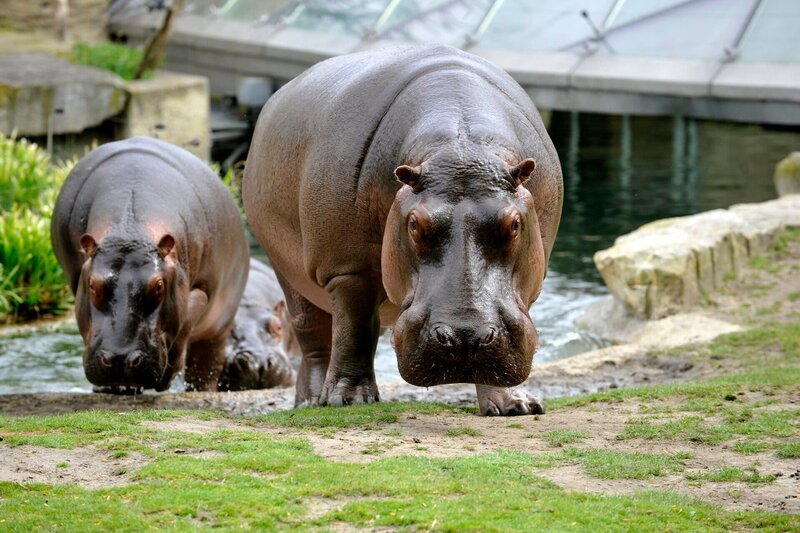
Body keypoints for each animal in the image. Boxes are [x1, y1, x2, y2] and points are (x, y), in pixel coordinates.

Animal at [244, 43, 564, 414]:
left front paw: (513, 405)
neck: (461, 146)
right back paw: (312, 401)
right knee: (316, 337)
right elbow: (354, 331)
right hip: (288, 269)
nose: (465, 339)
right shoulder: (348, 269)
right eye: (414, 223)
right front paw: (349, 400)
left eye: (514, 223)